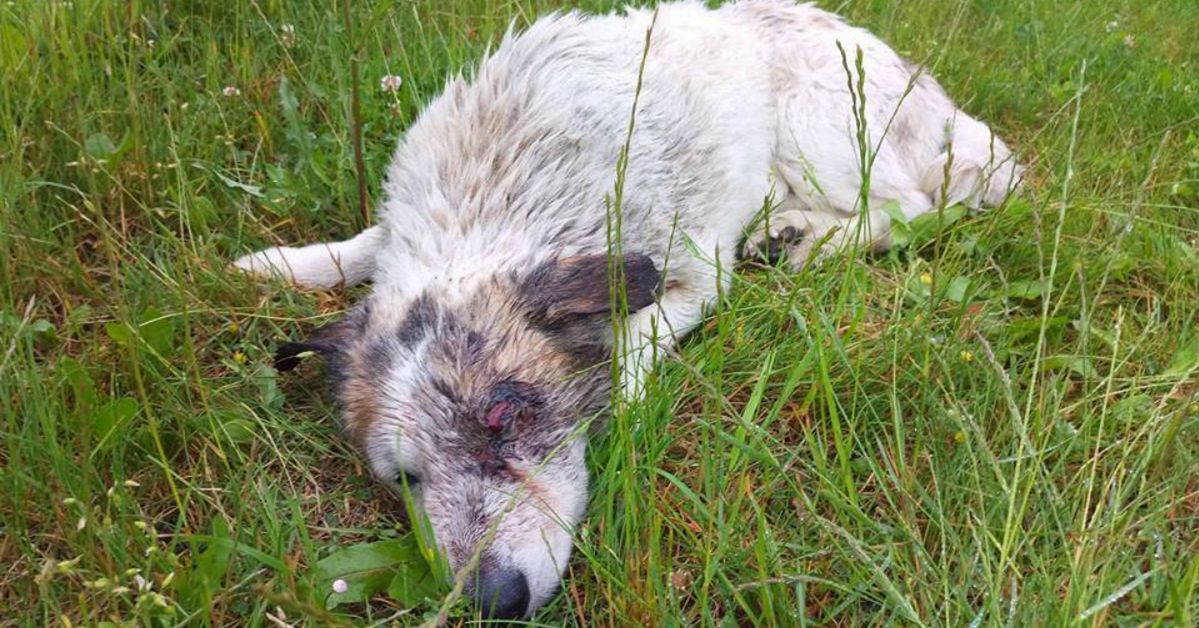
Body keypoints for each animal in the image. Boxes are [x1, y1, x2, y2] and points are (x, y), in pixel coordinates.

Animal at [231, 0, 1021, 618]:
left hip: (820, 128)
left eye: (507, 417)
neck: (499, 187)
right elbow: (366, 242)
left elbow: (632, 346)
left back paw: (802, 239)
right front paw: (281, 264)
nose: (493, 601)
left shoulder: (697, 275)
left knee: (912, 206)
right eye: (403, 479)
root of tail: (926, 86)